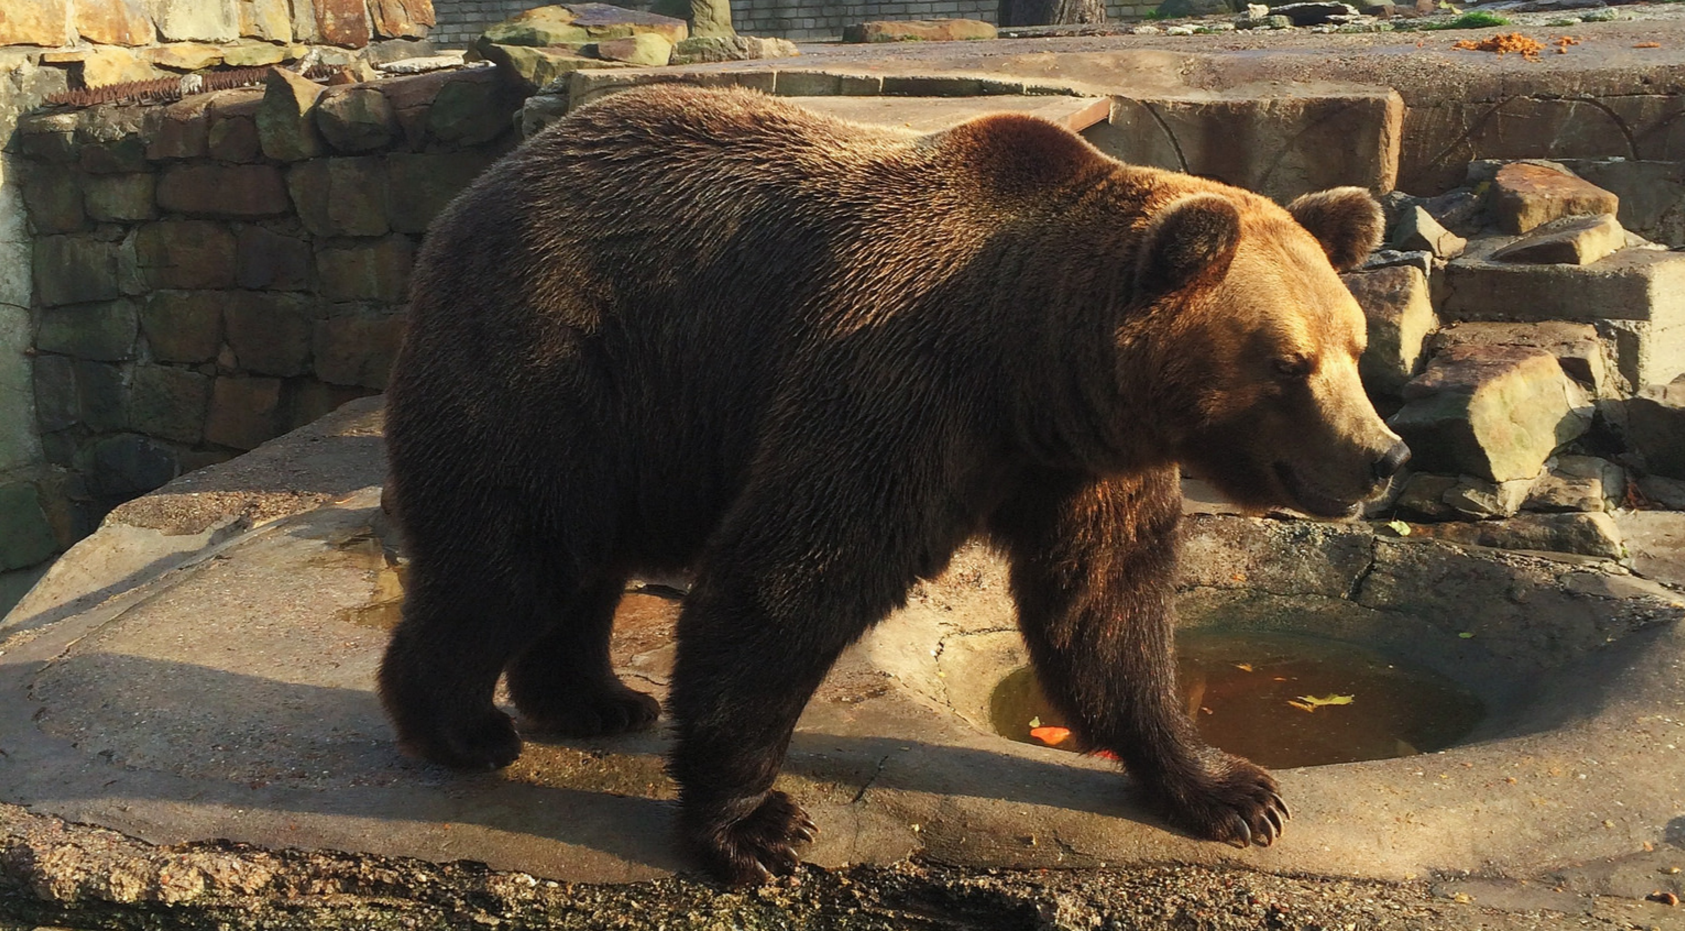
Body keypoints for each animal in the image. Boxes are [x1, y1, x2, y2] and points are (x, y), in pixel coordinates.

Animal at [382, 85, 1408, 888]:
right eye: (1287, 363)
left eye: (1355, 346)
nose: (1382, 455)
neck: (1033, 368)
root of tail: (478, 188)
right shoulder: (897, 380)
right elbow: (792, 578)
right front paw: (755, 824)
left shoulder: (1084, 461)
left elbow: (1106, 605)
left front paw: (1233, 789)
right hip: (554, 355)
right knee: (510, 551)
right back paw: (461, 727)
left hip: (635, 420)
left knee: (584, 558)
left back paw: (595, 699)